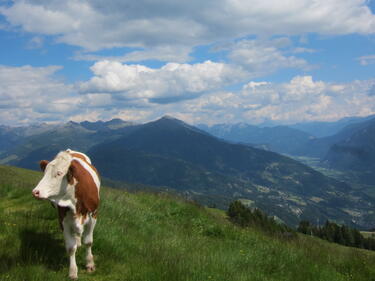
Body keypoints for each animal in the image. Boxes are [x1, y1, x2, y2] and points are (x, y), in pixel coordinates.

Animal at [31, 149, 100, 278]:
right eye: (45, 172)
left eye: (59, 173)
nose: (35, 192)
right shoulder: (63, 220)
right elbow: (71, 248)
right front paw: (73, 272)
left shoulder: (93, 216)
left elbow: (88, 242)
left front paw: (90, 264)